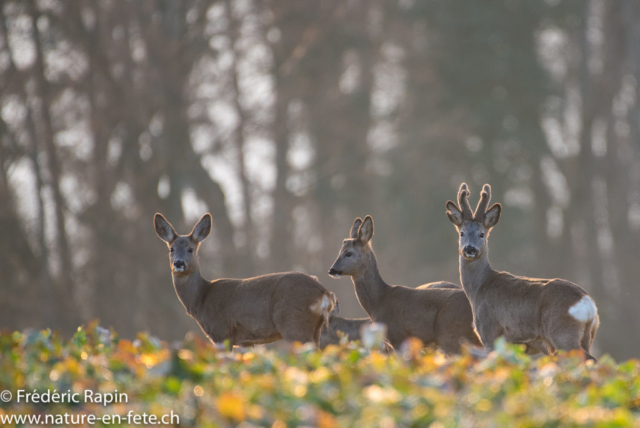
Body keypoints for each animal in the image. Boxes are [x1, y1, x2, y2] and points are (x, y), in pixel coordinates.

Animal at [444, 182, 600, 360]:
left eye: (482, 234)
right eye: (461, 233)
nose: (469, 249)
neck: (478, 289)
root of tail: (587, 303)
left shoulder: (490, 333)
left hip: (562, 333)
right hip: (588, 335)